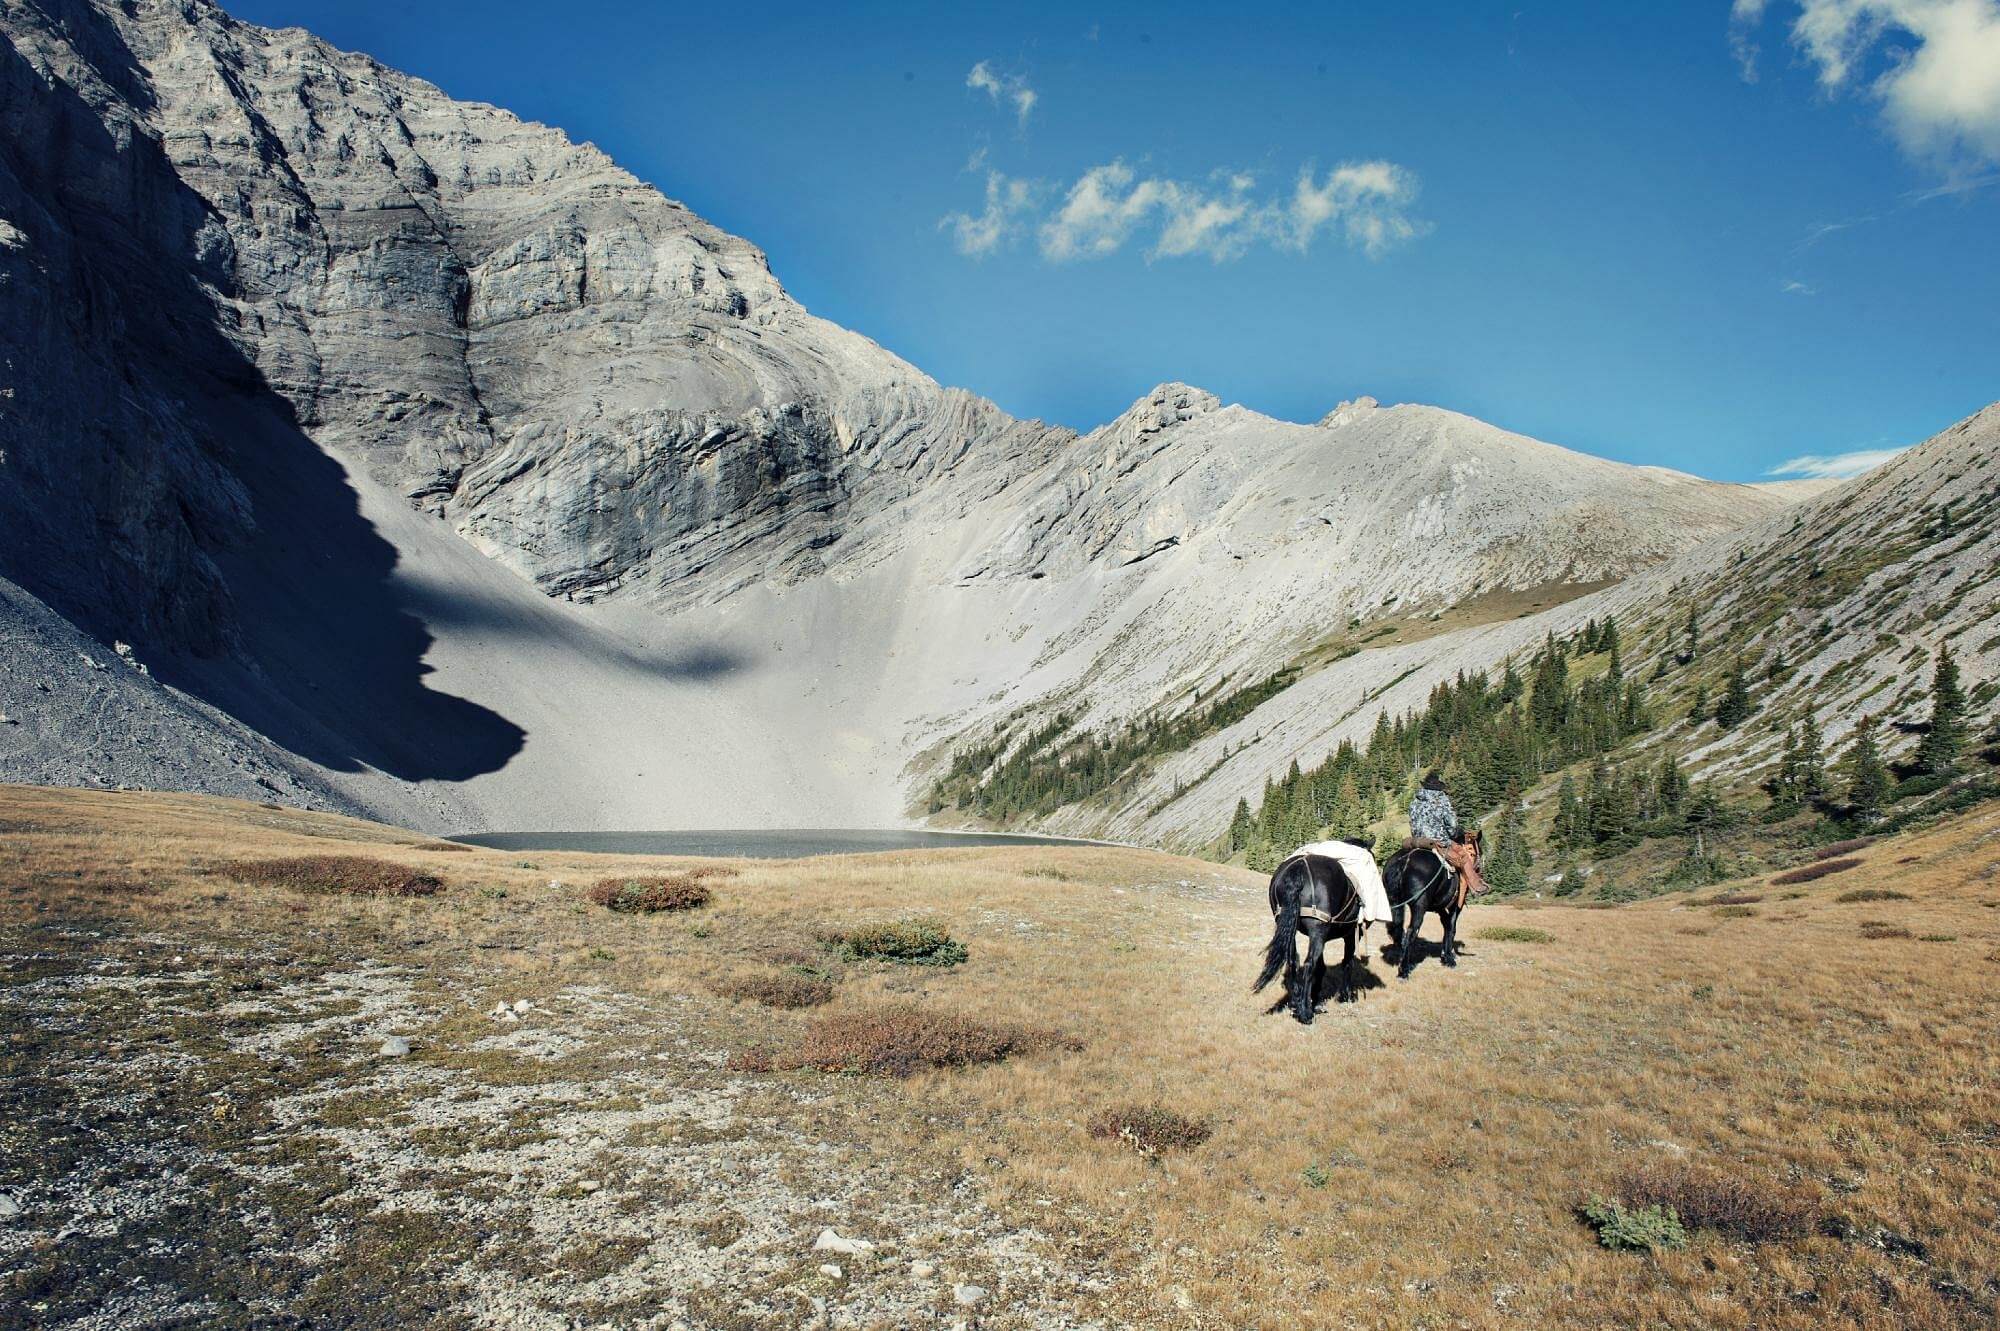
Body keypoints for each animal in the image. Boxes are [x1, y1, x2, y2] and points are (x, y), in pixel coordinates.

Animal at [1248, 843, 1360, 1019]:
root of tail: (1300, 866)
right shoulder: (1349, 934)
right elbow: (1347, 962)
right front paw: (1345, 996)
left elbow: (1321, 966)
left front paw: (1316, 999)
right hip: (1318, 931)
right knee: (1309, 963)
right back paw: (1305, 1013)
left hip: (1290, 927)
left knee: (1293, 960)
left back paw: (1296, 1002)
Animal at [1384, 831, 1480, 975]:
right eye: (1474, 852)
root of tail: (1404, 860)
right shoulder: (1456, 906)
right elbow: (1451, 928)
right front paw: (1449, 958)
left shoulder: (1440, 908)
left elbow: (1446, 925)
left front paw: (1445, 955)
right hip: (1419, 906)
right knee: (1411, 931)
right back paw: (1404, 970)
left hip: (1393, 901)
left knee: (1397, 928)